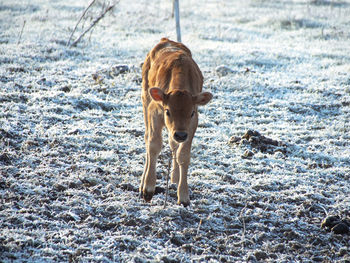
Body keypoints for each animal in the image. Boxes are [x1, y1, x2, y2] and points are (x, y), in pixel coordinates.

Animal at [140, 38, 213, 207]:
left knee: (173, 144)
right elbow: (154, 145)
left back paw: (174, 179)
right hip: (145, 100)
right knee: (147, 138)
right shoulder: (154, 112)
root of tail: (165, 40)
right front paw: (148, 189)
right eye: (168, 111)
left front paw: (184, 197)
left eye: (191, 113)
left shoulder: (192, 124)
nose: (180, 134)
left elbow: (183, 155)